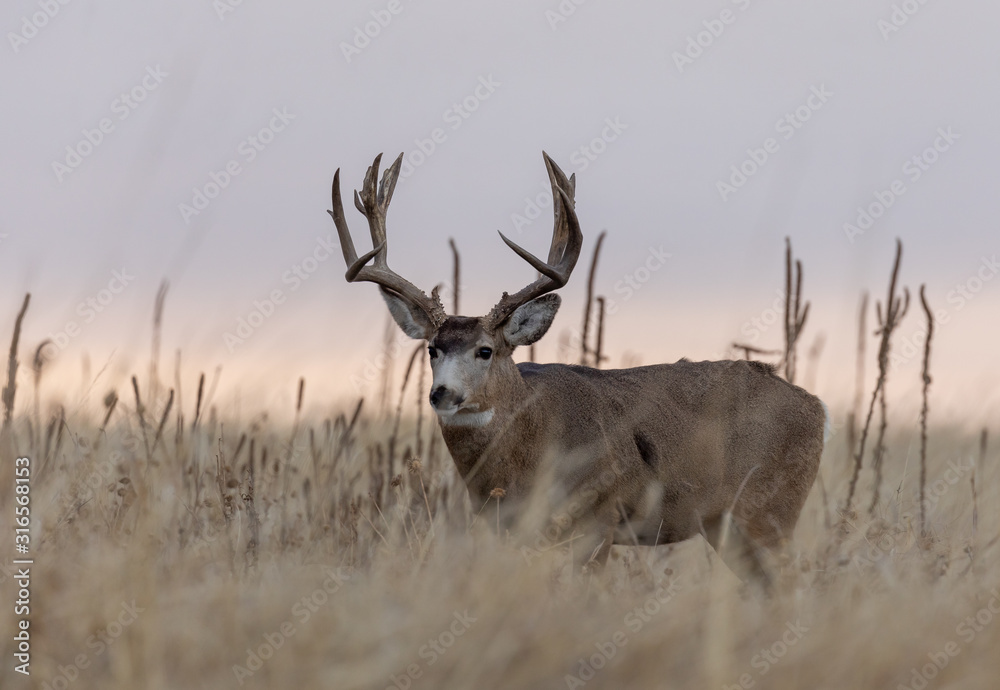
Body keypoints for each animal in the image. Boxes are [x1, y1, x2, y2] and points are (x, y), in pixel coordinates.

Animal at [329, 152, 827, 585]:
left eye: (485, 350)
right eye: (432, 348)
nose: (443, 394)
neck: (531, 445)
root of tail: (820, 409)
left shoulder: (600, 519)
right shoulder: (507, 527)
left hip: (770, 509)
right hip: (728, 526)